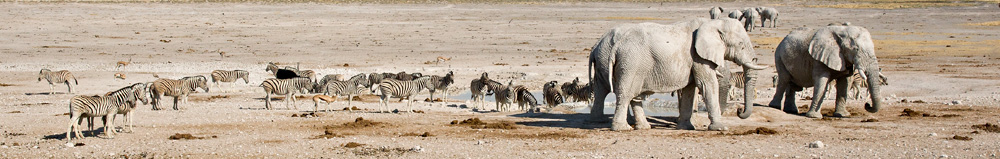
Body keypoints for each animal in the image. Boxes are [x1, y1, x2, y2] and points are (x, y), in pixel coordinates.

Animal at [584, 18, 764, 130]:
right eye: (741, 45)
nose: (739, 111)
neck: (712, 23)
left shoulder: (694, 60)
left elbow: (690, 89)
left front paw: (686, 127)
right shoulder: (698, 57)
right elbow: (707, 85)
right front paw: (720, 128)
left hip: (630, 66)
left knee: (618, 92)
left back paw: (640, 127)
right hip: (630, 63)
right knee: (625, 93)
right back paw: (622, 128)